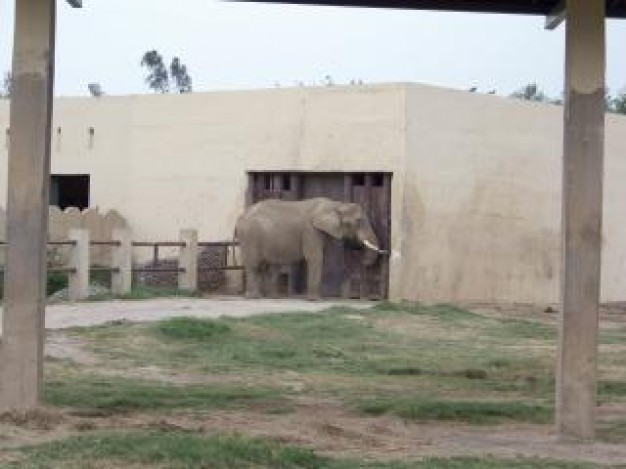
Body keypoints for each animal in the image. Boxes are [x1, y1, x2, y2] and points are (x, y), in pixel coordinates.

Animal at [233, 195, 382, 298]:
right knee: (254, 265)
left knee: (269, 266)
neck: (336, 204)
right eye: (359, 221)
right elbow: (315, 258)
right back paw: (254, 297)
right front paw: (315, 300)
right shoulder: (310, 231)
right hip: (250, 237)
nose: (363, 261)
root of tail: (239, 218)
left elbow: (322, 257)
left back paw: (271, 296)